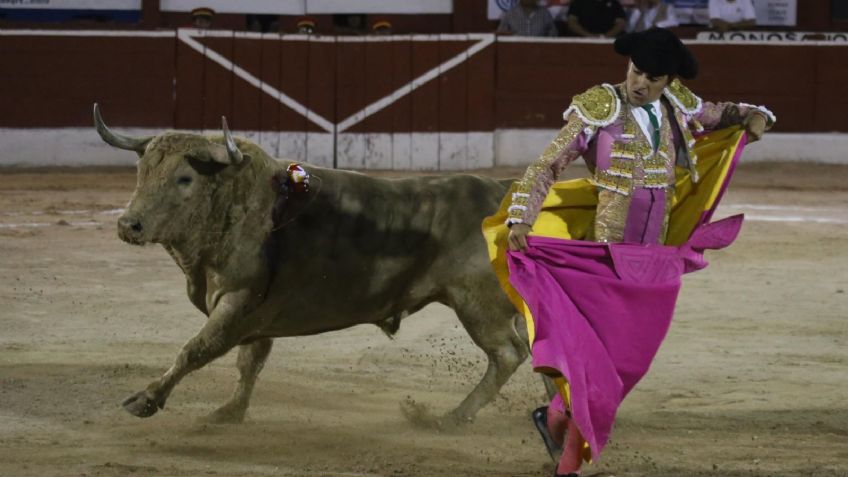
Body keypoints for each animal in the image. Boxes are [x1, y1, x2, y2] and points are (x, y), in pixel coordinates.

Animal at [94, 104, 528, 424]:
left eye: (185, 178)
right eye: (141, 171)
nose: (129, 224)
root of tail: (502, 194)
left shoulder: (238, 302)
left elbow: (196, 349)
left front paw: (146, 399)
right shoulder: (256, 316)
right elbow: (249, 361)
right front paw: (230, 411)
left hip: (478, 305)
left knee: (508, 354)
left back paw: (451, 418)